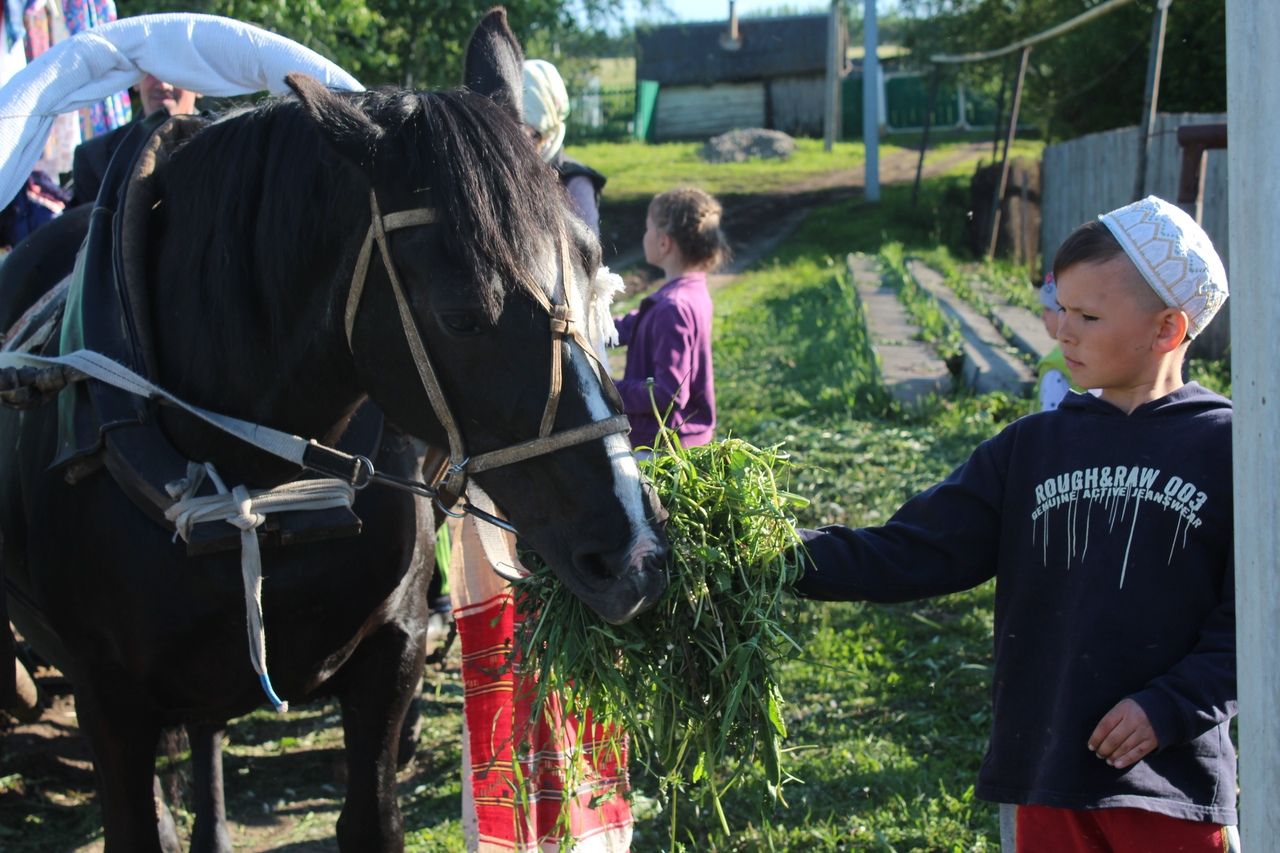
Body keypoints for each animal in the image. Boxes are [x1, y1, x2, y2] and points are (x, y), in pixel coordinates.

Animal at [0, 8, 665, 850]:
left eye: (592, 268)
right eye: (461, 313)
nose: (636, 551)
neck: (255, 489)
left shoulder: (391, 655)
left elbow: (371, 813)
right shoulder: (110, 703)